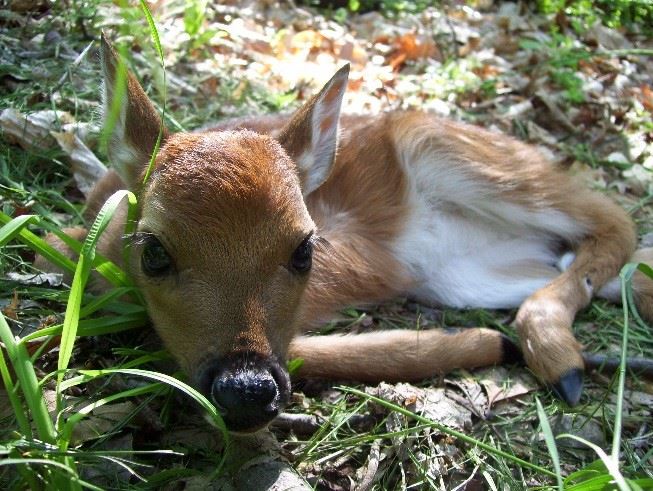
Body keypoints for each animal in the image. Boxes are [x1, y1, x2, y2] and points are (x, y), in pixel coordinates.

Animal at [38, 34, 653, 433]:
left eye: (305, 248)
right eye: (155, 252)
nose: (247, 390)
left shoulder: (367, 255)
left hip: (460, 155)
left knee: (615, 218)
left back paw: (559, 359)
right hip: (466, 275)